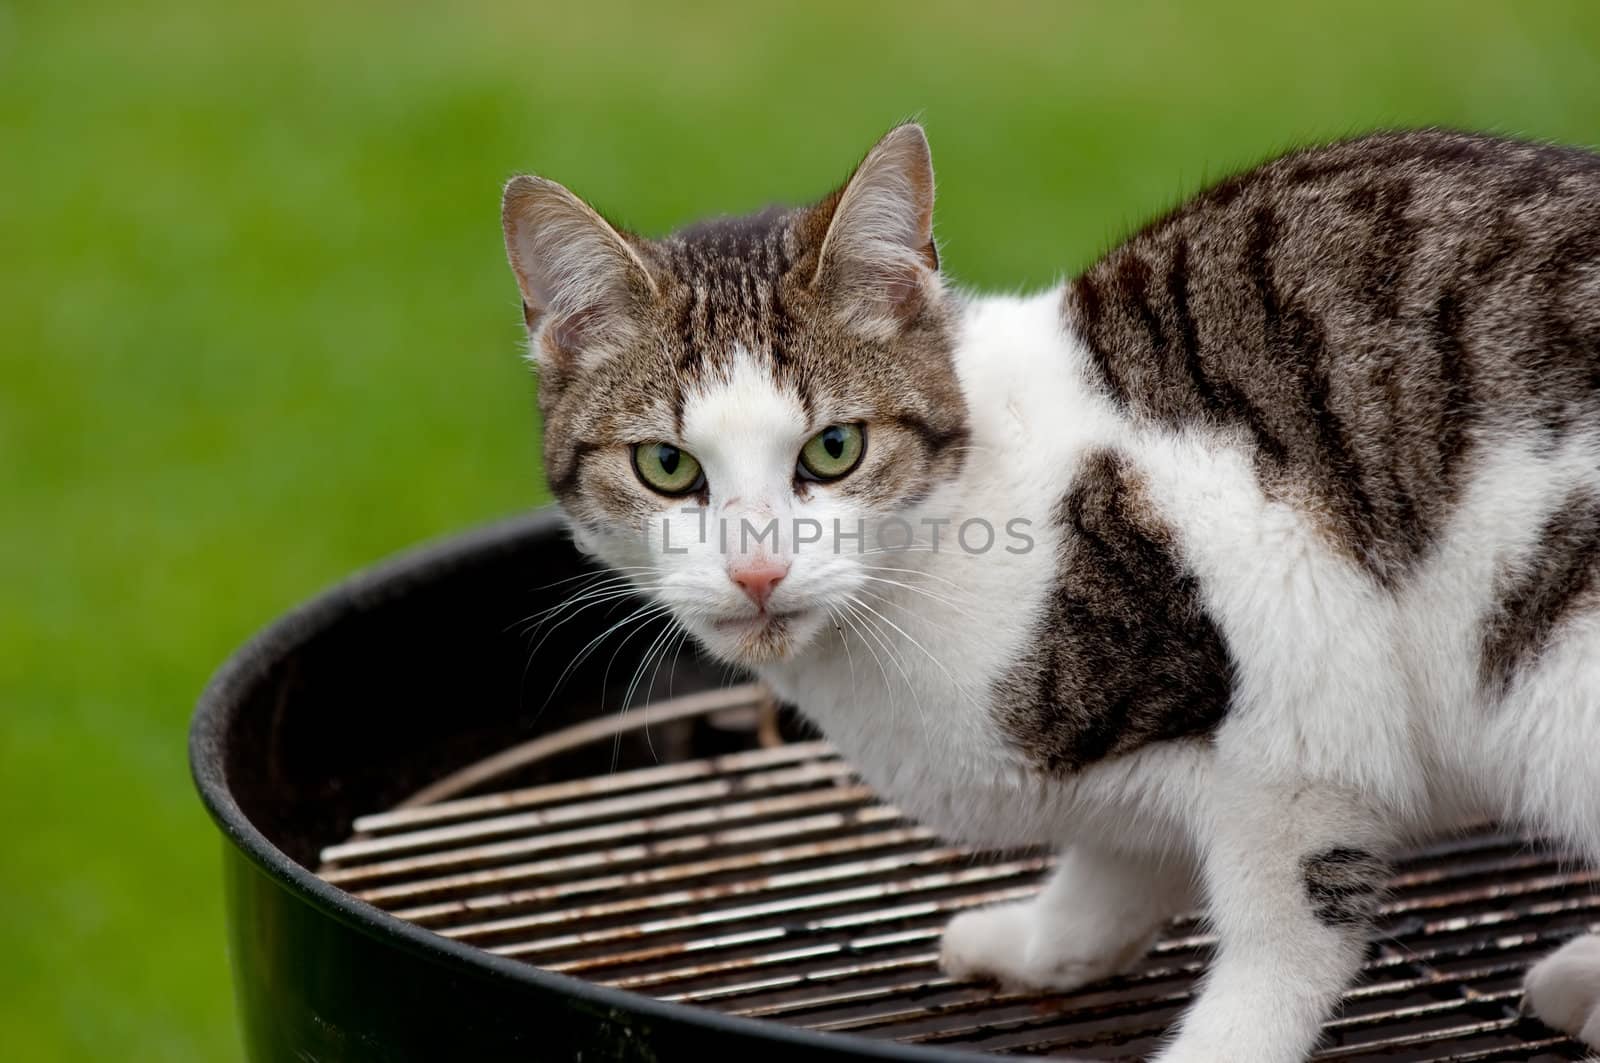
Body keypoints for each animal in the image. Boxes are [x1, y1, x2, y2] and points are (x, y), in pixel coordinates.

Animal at [499, 126, 1600, 1063]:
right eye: (666, 467)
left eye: (833, 448)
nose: (757, 567)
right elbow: (1117, 861)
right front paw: (1049, 941)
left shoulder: (1296, 708)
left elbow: (1285, 932)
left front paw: (1220, 1044)